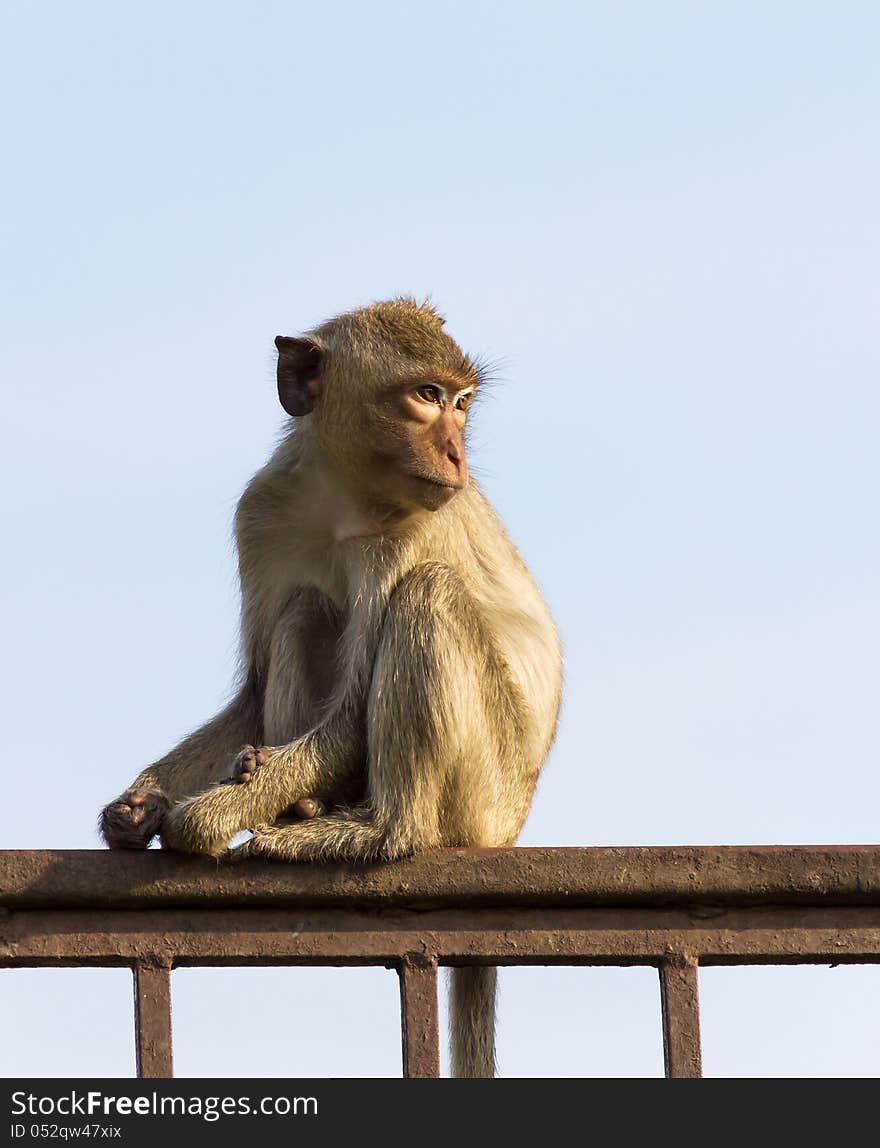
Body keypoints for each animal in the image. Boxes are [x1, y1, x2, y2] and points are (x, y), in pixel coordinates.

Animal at [99, 298, 559, 1074]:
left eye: (461, 403)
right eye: (428, 396)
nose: (457, 455)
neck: (342, 494)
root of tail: (505, 835)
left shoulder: (408, 530)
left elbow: (347, 717)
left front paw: (199, 820)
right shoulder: (262, 511)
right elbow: (253, 696)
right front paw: (137, 805)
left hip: (481, 793)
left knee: (428, 595)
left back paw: (375, 831)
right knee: (305, 609)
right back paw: (303, 801)